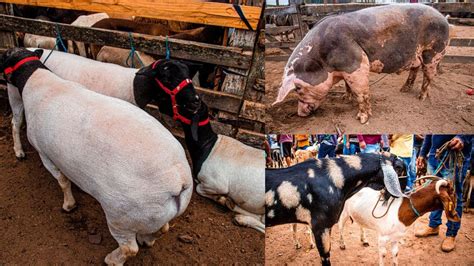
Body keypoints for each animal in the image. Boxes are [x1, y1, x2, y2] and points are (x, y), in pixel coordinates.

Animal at [2, 48, 191, 266]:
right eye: (168, 75)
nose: (195, 103)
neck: (39, 81)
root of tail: (179, 179)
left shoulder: (45, 153)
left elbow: (63, 181)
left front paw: (69, 205)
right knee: (162, 229)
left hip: (121, 214)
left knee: (130, 248)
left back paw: (113, 259)